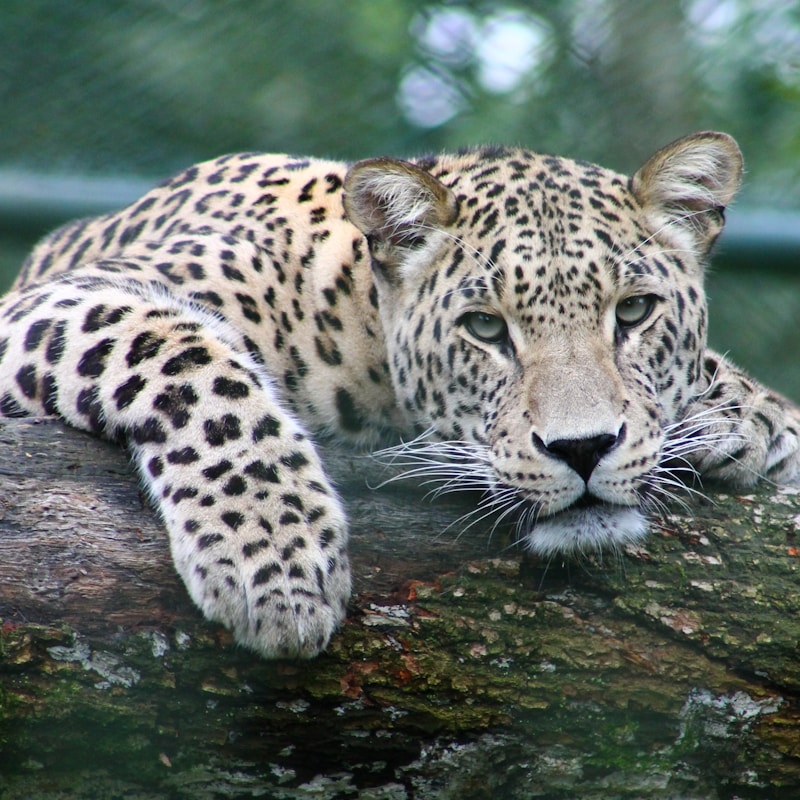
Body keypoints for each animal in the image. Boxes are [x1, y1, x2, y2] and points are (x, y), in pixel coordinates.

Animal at [1, 131, 799, 659]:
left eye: (633, 312)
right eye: (485, 327)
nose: (584, 449)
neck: (353, 322)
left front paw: (751, 416)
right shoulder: (59, 301)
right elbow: (192, 361)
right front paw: (275, 560)